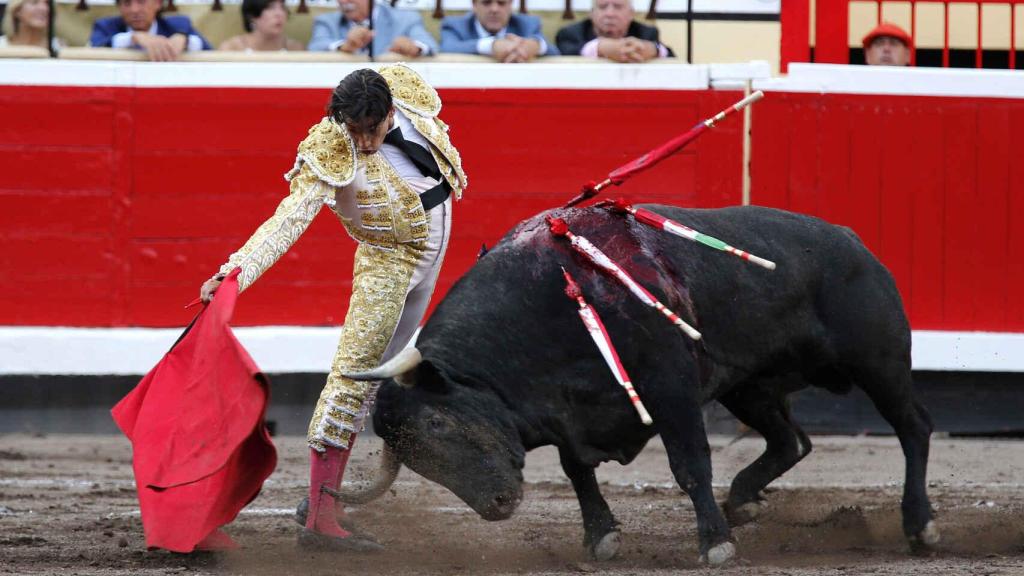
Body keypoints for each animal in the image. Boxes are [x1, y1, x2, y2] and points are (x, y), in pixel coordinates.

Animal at [352, 203, 937, 561]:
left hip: (878, 362)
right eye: (415, 460)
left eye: (435, 423)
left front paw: (715, 546)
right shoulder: (567, 414)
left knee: (914, 427)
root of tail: (851, 240)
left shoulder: (670, 387)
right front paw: (602, 537)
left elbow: (690, 465)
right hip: (746, 386)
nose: (497, 505)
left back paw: (920, 525)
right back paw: (744, 500)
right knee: (789, 440)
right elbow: (577, 472)